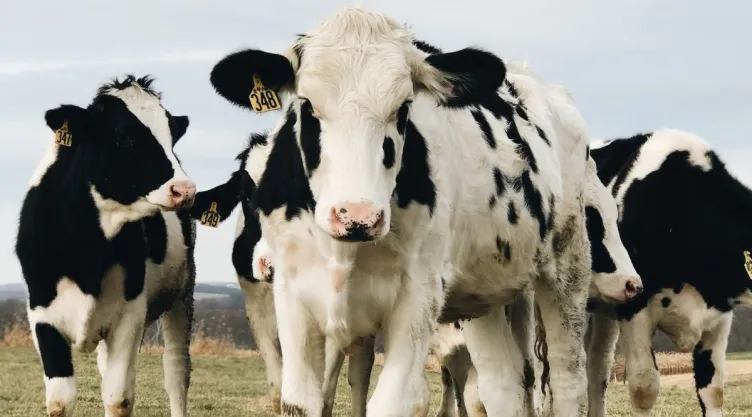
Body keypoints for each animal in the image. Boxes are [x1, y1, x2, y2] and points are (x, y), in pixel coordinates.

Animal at [15, 75, 197, 417]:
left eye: (171, 136)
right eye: (124, 137)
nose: (184, 189)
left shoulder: (129, 315)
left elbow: (118, 398)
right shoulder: (42, 313)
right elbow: (60, 400)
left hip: (184, 293)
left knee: (177, 372)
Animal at [207, 7, 596, 416]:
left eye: (404, 108)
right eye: (307, 105)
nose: (357, 215)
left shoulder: (417, 299)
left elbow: (392, 401)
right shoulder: (292, 296)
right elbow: (303, 400)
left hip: (568, 265)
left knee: (568, 379)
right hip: (486, 288)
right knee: (501, 384)